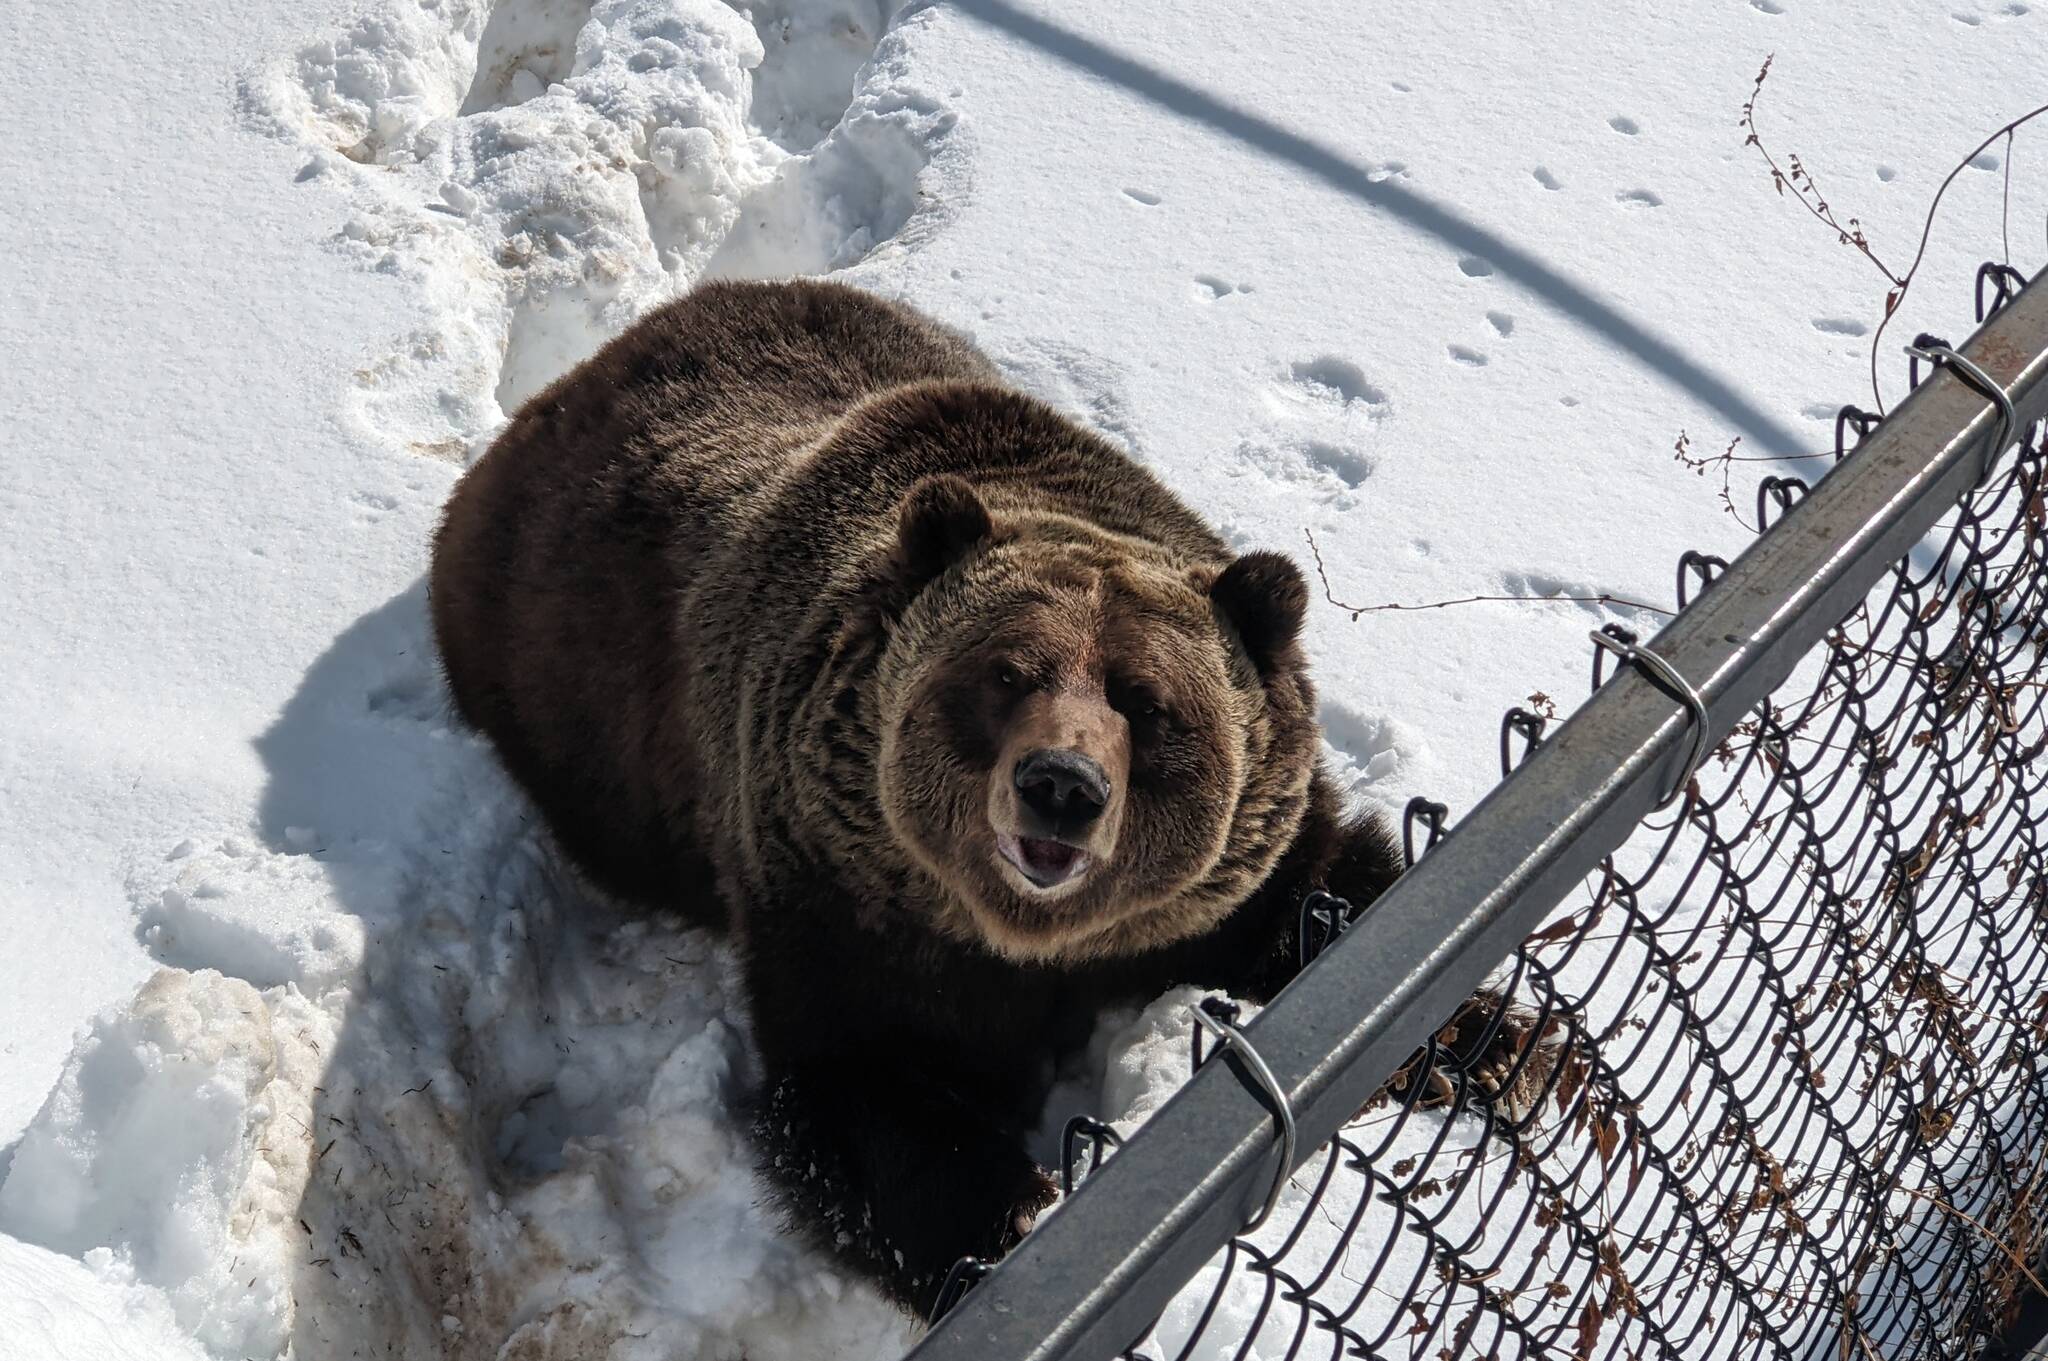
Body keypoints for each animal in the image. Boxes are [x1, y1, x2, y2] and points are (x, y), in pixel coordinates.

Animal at [432, 278, 1540, 1318]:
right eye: (1006, 673)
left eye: (1146, 701)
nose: (1061, 785)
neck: (1043, 942)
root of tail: (585, 373)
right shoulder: (847, 897)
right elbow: (876, 1084)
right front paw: (1010, 1225)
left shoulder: (1228, 872)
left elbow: (1345, 908)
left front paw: (1502, 1048)